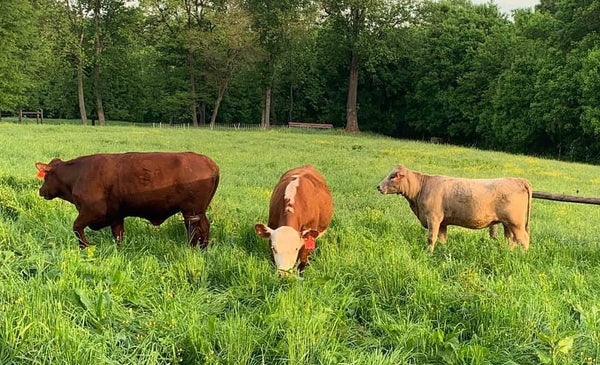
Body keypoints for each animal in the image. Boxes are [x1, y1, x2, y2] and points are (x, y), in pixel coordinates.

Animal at [35, 151, 219, 247]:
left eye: (46, 177)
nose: (41, 191)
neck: (78, 175)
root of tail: (209, 162)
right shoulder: (116, 216)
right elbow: (118, 236)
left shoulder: (92, 211)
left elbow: (76, 227)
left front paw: (85, 246)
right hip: (198, 212)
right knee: (204, 227)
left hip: (191, 212)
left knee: (195, 231)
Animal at [378, 164, 532, 250]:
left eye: (393, 176)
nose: (378, 187)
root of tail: (519, 180)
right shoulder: (442, 223)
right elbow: (442, 239)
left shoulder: (433, 218)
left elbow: (431, 238)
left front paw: (428, 253)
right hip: (508, 224)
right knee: (511, 240)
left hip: (516, 223)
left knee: (524, 240)